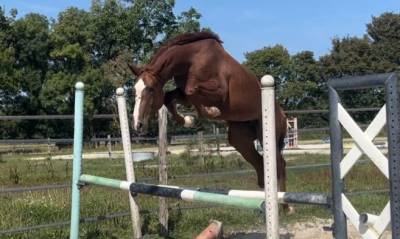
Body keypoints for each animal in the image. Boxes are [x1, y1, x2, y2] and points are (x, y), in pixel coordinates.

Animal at [126, 31, 286, 190]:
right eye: (134, 90)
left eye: (151, 89)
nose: (137, 124)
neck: (192, 60)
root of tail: (283, 115)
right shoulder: (183, 94)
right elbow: (170, 97)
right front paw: (188, 120)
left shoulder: (220, 90)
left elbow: (191, 89)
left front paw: (212, 111)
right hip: (240, 141)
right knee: (260, 166)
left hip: (268, 136)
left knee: (280, 165)